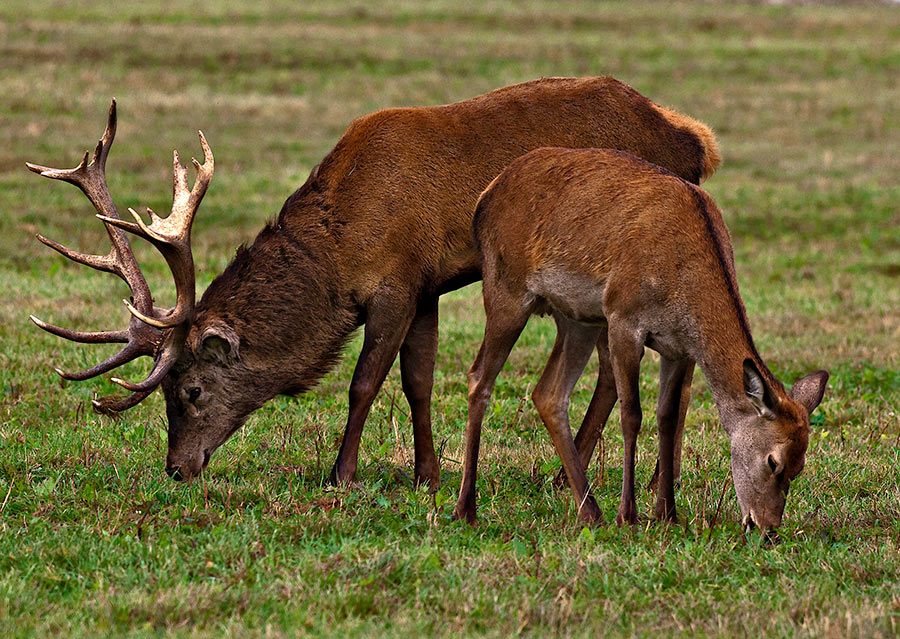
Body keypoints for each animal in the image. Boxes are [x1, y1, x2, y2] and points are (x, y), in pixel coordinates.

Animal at [28, 77, 722, 486]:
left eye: (191, 390)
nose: (177, 468)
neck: (343, 249)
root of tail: (694, 142)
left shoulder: (395, 280)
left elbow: (365, 382)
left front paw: (342, 473)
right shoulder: (427, 286)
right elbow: (418, 382)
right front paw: (427, 474)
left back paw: (583, 478)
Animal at [452, 147, 828, 531]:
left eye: (799, 467)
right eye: (773, 461)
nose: (767, 527)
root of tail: (488, 192)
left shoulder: (678, 349)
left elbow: (668, 417)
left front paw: (667, 513)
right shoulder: (623, 319)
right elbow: (632, 414)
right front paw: (628, 514)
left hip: (577, 317)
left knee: (549, 393)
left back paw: (590, 511)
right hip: (506, 288)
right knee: (479, 378)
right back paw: (465, 508)